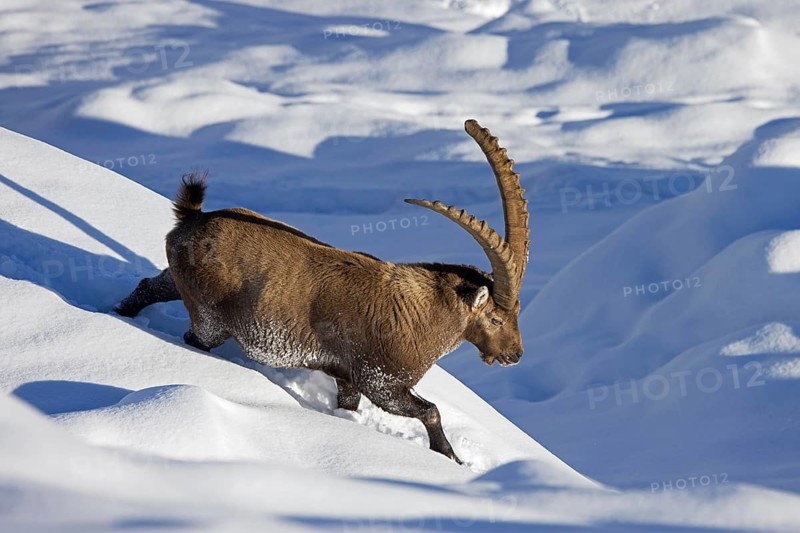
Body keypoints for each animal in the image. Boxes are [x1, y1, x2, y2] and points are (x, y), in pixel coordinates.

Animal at [115, 120, 530, 463]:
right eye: (496, 318)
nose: (515, 355)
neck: (424, 313)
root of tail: (192, 219)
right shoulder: (380, 380)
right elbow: (431, 410)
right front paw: (451, 458)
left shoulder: (346, 376)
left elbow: (349, 404)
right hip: (210, 319)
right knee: (193, 335)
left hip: (179, 279)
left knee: (149, 287)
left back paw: (119, 313)